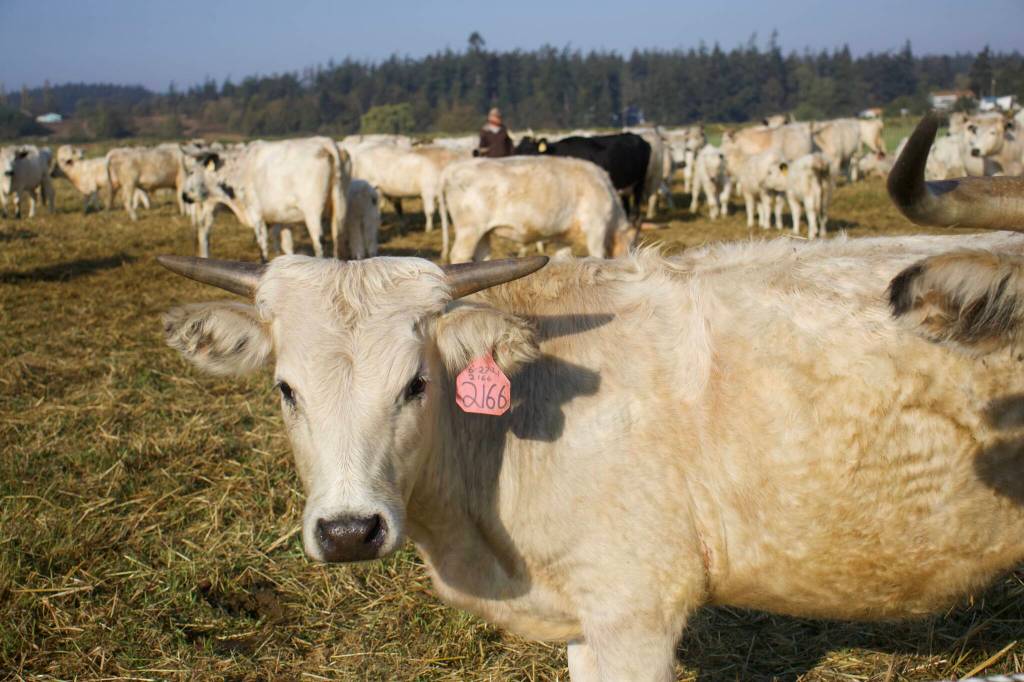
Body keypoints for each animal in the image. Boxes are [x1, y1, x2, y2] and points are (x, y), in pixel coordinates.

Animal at [180, 137, 350, 260]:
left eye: (191, 172)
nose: (184, 195)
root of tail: (325, 143)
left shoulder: (257, 215)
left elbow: (262, 246)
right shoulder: (282, 219)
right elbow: (287, 246)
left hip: (312, 213)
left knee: (319, 242)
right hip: (339, 211)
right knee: (337, 239)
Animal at [438, 155, 634, 263]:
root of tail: (453, 168)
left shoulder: (562, 236)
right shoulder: (596, 227)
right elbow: (598, 256)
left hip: (483, 232)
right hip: (469, 229)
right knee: (459, 255)